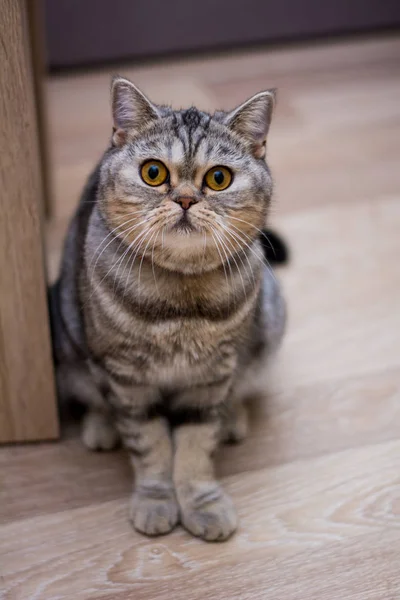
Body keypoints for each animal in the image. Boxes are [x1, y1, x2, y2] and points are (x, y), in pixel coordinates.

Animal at [50, 76, 286, 544]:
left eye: (218, 178)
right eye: (154, 173)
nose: (186, 200)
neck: (181, 302)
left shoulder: (211, 377)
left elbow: (195, 448)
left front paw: (202, 504)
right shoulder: (127, 379)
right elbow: (151, 444)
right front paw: (157, 500)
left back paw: (232, 418)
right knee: (92, 395)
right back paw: (101, 426)